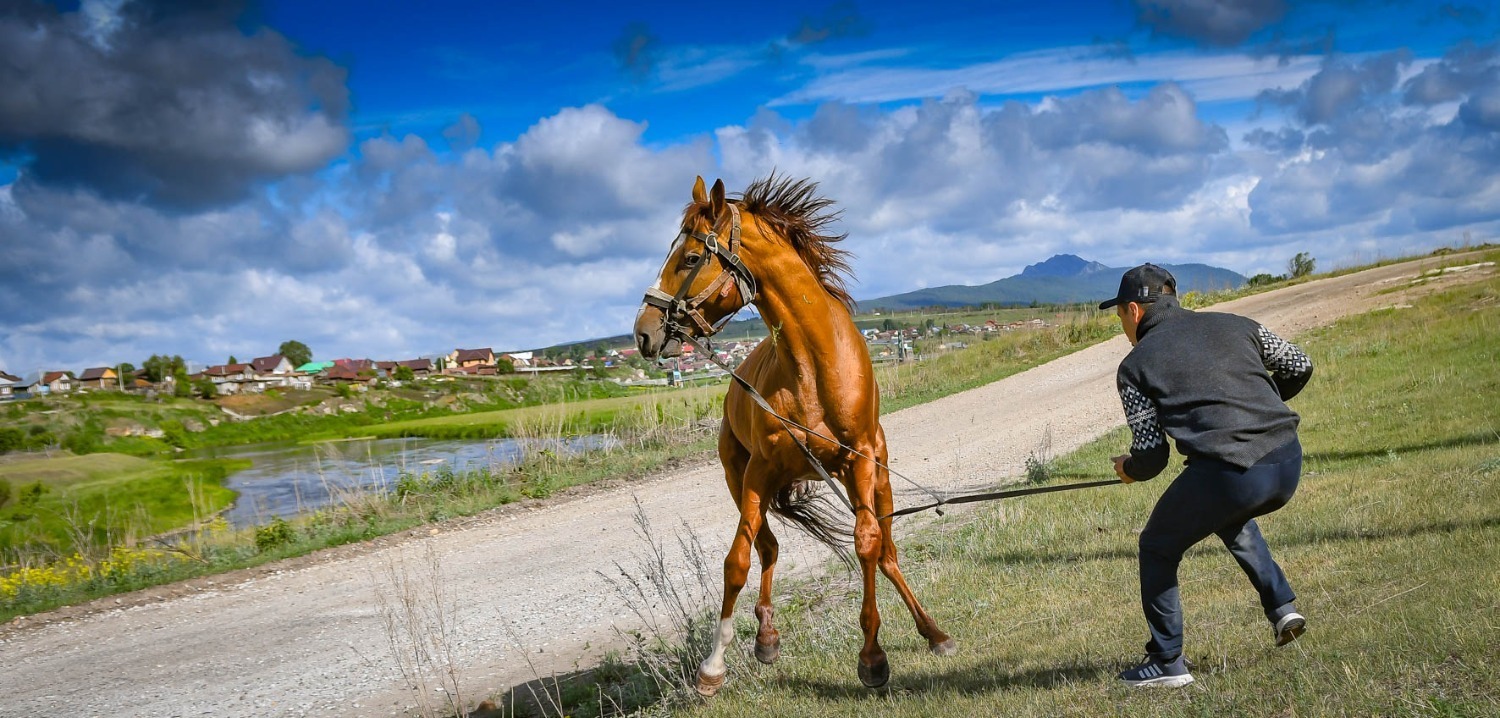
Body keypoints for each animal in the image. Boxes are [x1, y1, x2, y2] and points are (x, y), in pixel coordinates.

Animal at [630, 173, 948, 695]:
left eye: (691, 258)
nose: (643, 332)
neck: (814, 367)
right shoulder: (760, 472)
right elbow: (737, 561)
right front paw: (713, 667)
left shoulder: (859, 461)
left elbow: (867, 545)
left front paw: (873, 657)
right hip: (741, 479)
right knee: (769, 547)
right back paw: (767, 637)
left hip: (876, 478)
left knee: (886, 551)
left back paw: (934, 632)